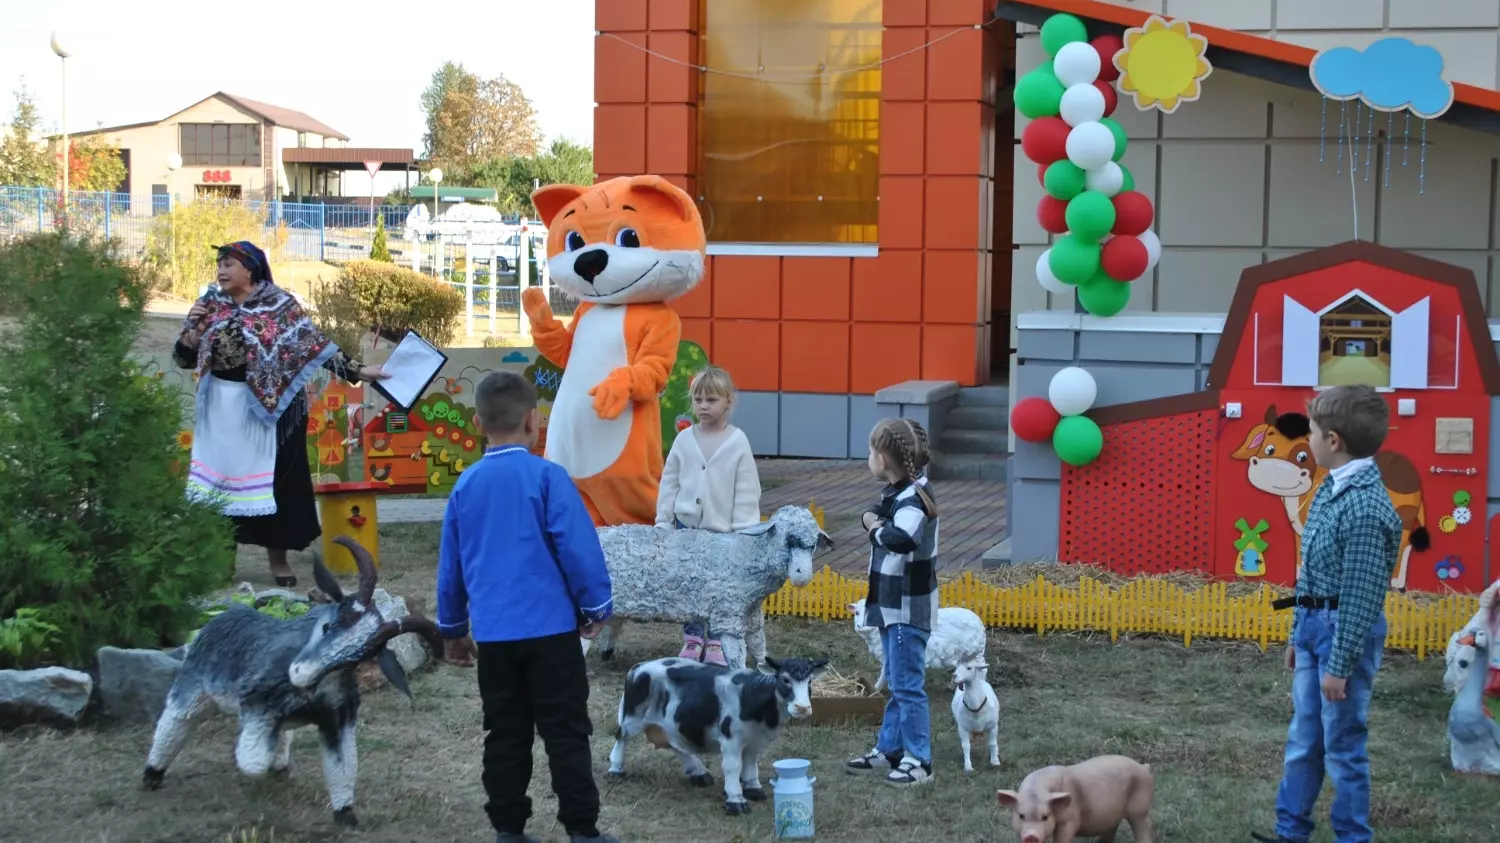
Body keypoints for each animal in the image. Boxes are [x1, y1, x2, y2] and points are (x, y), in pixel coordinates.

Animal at [606, 654, 834, 810]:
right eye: (785, 679)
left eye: (810, 681)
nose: (802, 708)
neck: (751, 697)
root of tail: (639, 667)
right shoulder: (731, 739)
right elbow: (733, 767)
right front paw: (736, 799)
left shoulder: (755, 741)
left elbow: (751, 764)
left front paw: (753, 789)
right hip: (632, 716)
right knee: (621, 737)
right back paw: (616, 769)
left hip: (670, 722)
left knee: (674, 744)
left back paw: (699, 773)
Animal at [1230, 405, 1428, 588]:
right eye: (1269, 449)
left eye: (1302, 456)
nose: (1273, 468)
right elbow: (1300, 552)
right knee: (1409, 544)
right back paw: (1399, 584)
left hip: (1403, 514)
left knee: (1403, 544)